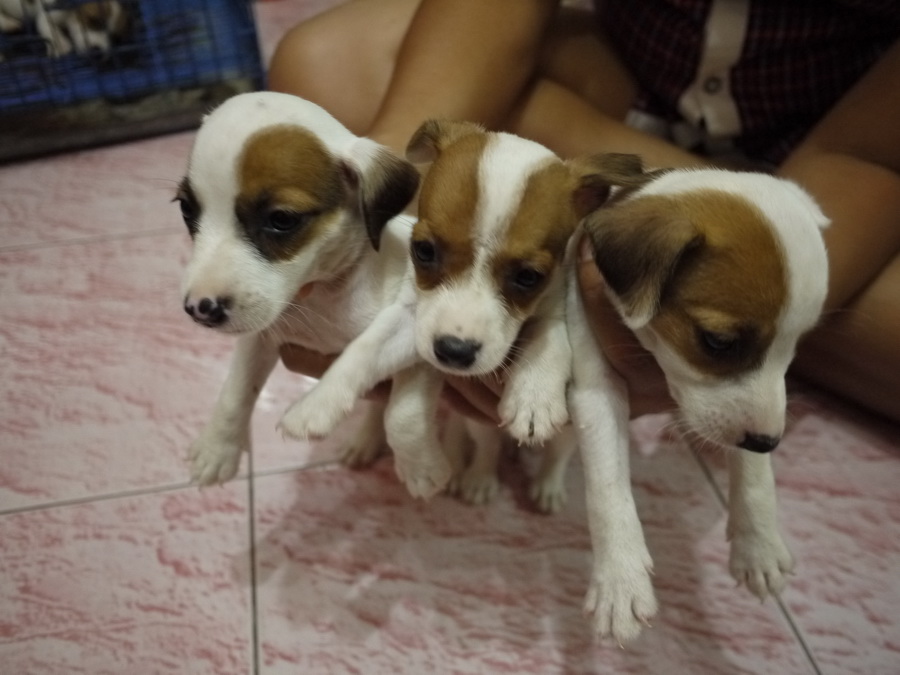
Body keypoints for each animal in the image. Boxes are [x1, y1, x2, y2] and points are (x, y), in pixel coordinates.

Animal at [0, 0, 129, 58]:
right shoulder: (51, 11)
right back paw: (9, 24)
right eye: (92, 22)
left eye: (115, 38)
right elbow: (44, 24)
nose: (96, 50)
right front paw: (62, 45)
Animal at [176, 91, 420, 487]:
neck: (323, 295)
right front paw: (218, 448)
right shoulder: (260, 338)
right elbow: (235, 391)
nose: (200, 309)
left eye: (281, 219)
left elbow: (402, 408)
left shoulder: (421, 329)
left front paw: (423, 467)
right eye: (186, 208)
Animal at [278, 119, 646, 510]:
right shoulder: (414, 319)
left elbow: (547, 340)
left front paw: (533, 398)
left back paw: (543, 484)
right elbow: (363, 351)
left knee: (556, 452)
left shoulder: (556, 305)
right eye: (423, 250)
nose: (454, 352)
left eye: (528, 277)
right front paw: (316, 404)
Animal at [567, 167, 830, 642]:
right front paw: (621, 578)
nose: (769, 443)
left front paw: (758, 545)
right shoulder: (597, 388)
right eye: (718, 342)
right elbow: (609, 486)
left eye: (796, 346)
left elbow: (756, 474)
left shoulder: (761, 406)